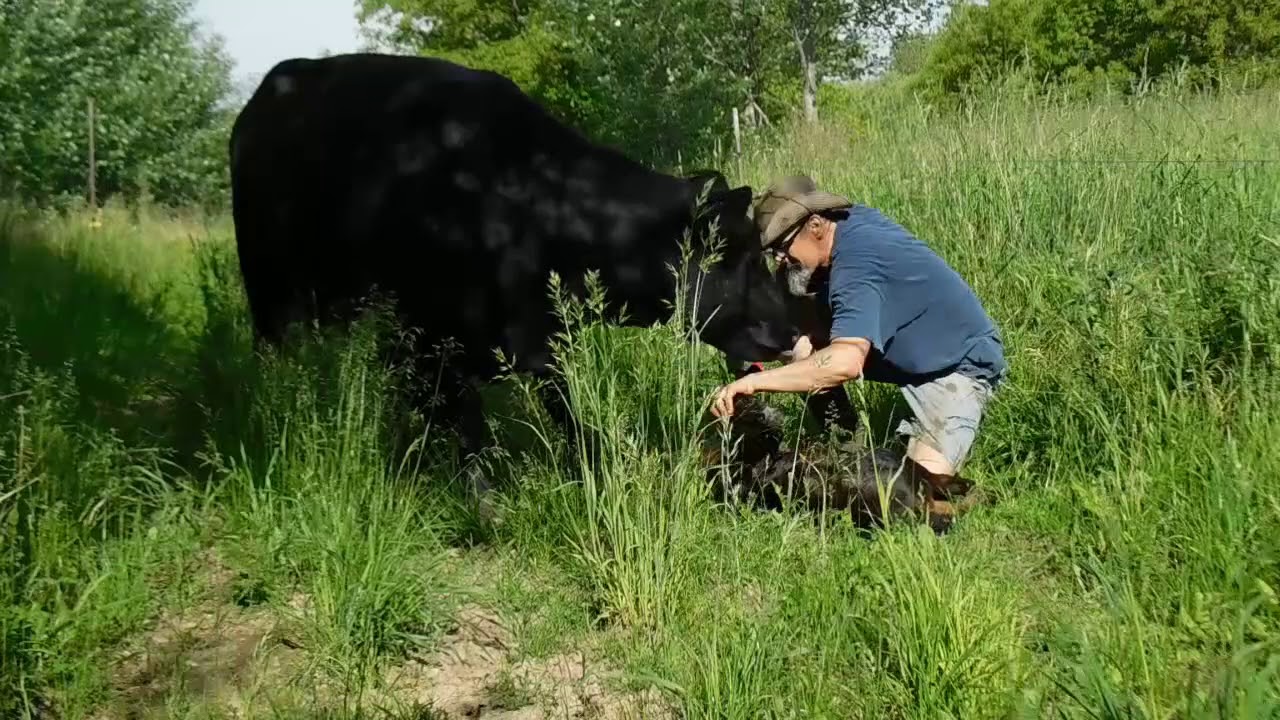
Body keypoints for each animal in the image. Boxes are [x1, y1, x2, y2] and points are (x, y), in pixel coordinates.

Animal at [227, 52, 799, 496]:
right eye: (740, 256)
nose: (792, 331)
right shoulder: (434, 339)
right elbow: (469, 430)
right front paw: (482, 505)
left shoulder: (544, 340)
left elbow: (567, 415)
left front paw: (600, 466)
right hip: (272, 296)